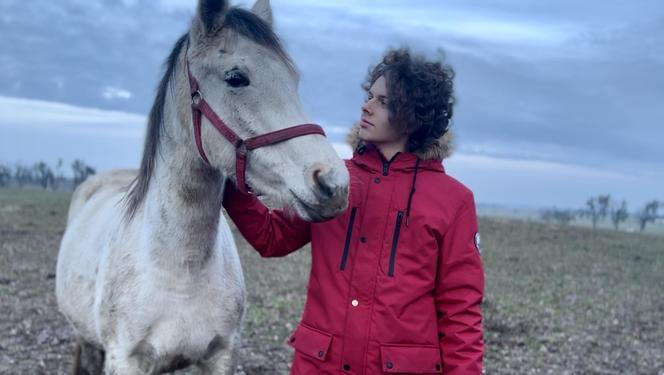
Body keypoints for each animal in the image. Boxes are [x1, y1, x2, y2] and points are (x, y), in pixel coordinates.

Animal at [54, 1, 350, 374]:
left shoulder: (220, 355)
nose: (333, 182)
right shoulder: (124, 359)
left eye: (293, 80)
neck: (181, 269)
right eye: (236, 77)